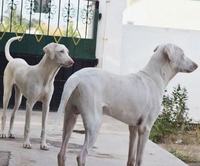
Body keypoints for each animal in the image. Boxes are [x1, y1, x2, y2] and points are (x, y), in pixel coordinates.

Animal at [55, 43, 198, 166]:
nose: (196, 65)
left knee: (61, 154)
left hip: (70, 117)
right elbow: (139, 159)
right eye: (183, 54)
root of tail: (76, 77)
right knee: (81, 156)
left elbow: (131, 158)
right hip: (94, 123)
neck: (153, 77)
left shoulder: (133, 127)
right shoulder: (145, 128)